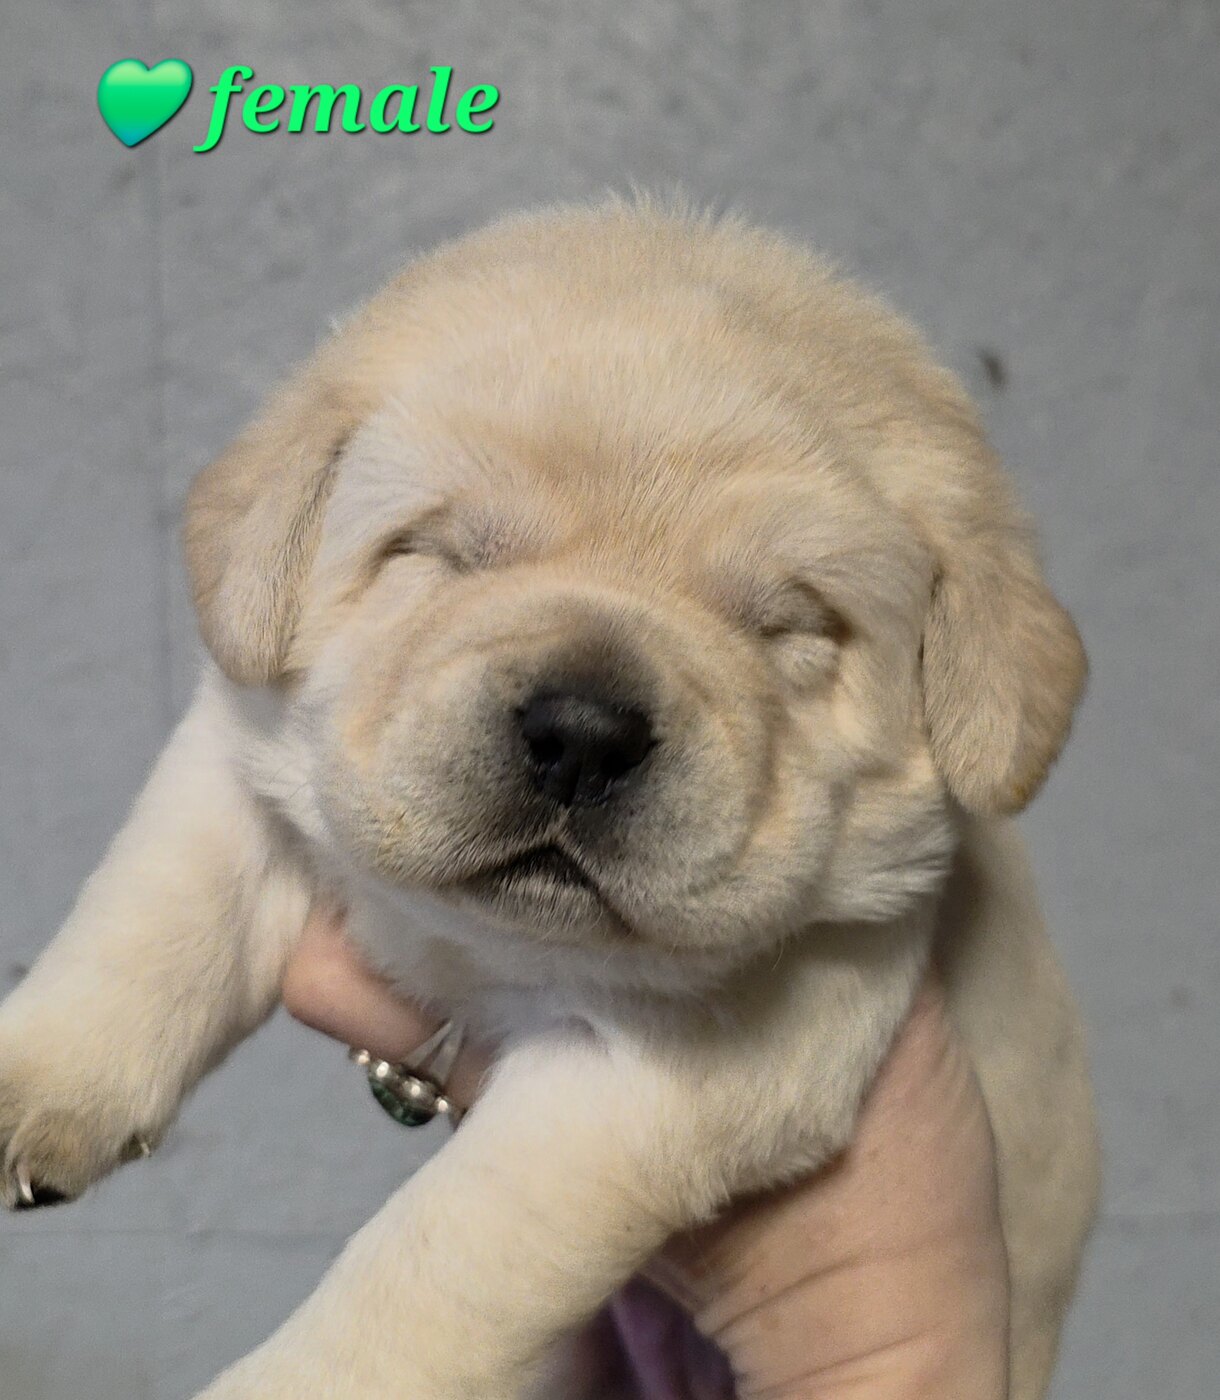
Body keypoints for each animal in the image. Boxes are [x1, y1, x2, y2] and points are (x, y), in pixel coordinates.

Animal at [0, 198, 1099, 1399]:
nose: (582, 735)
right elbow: (148, 927)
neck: (488, 941)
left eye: (791, 626)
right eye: (441, 552)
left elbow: (434, 1260)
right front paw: (31, 1084)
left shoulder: (660, 1072)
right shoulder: (239, 752)